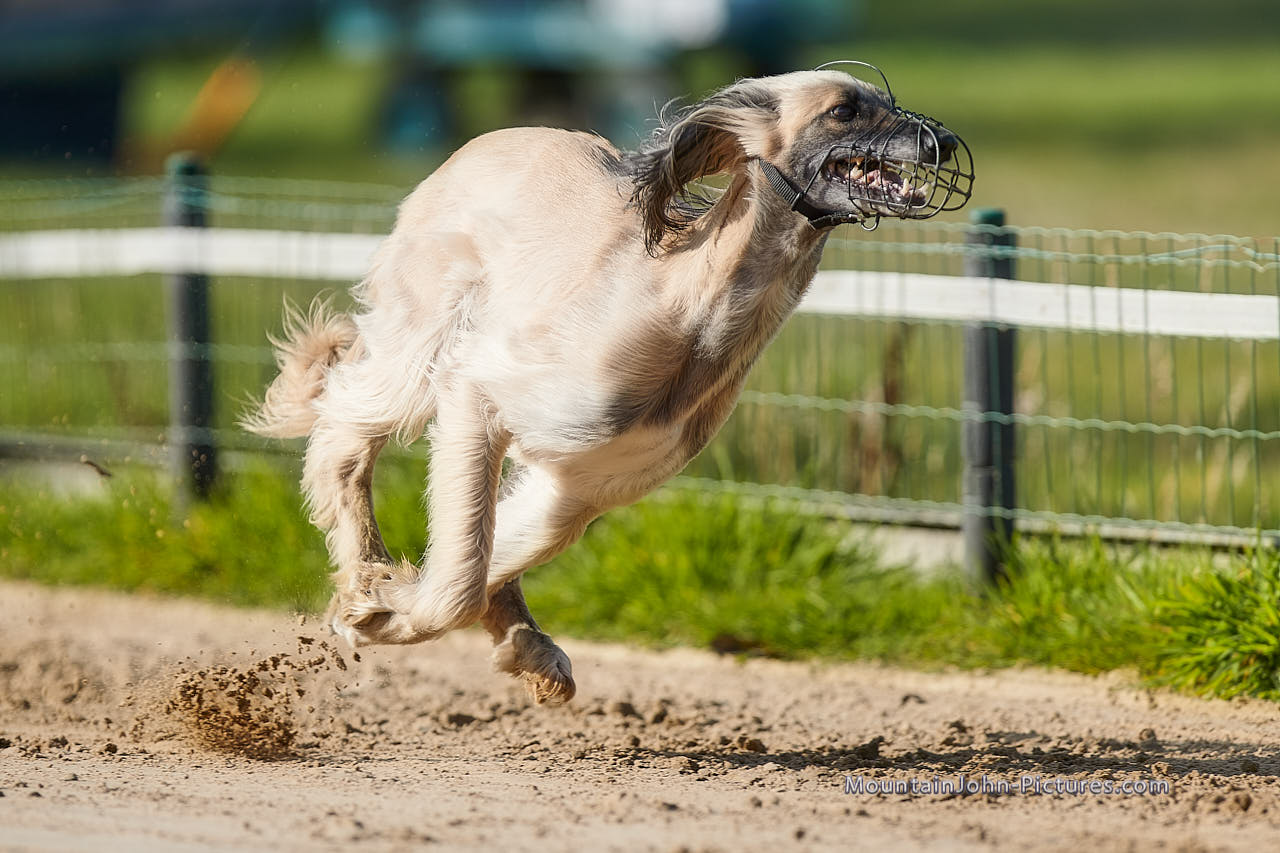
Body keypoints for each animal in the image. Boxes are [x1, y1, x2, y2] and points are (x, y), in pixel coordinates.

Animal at [246, 64, 971, 704]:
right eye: (844, 109)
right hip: (422, 335)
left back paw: (522, 639)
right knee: (342, 430)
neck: (687, 306)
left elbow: (492, 552)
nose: (944, 143)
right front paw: (373, 599)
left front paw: (403, 611)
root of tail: (482, 142)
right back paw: (365, 553)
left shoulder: (579, 485)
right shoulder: (479, 392)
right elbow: (460, 576)